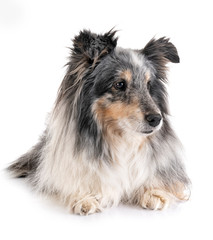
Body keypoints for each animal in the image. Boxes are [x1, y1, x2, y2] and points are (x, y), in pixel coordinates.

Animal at [7, 29, 191, 215]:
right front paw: (84, 198)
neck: (122, 139)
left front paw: (155, 193)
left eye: (148, 85)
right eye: (119, 84)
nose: (156, 119)